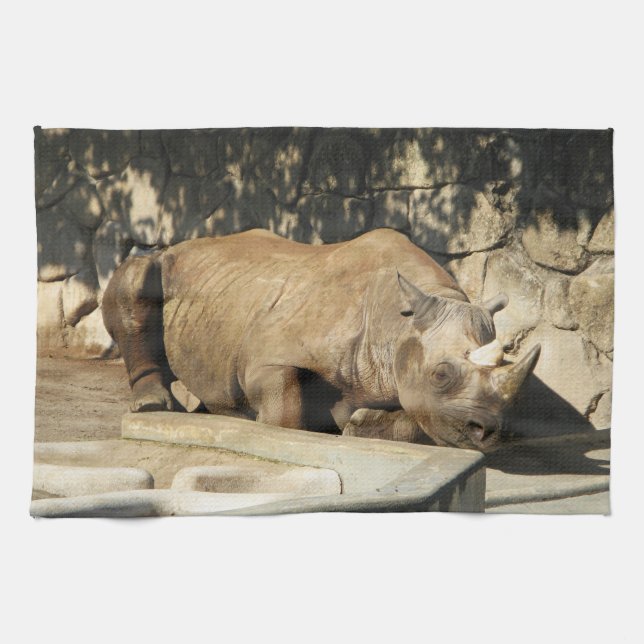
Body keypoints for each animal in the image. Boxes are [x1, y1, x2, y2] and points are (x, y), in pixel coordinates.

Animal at [102, 228, 540, 452]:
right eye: (441, 375)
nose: (488, 431)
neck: (397, 324)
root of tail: (183, 244)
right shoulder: (269, 355)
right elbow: (284, 410)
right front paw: (273, 425)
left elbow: (418, 419)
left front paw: (358, 426)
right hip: (164, 263)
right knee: (136, 275)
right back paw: (155, 406)